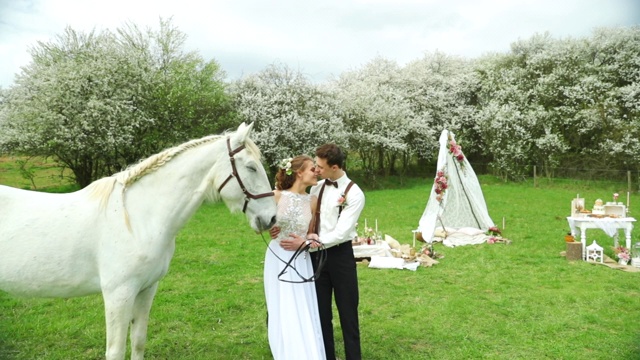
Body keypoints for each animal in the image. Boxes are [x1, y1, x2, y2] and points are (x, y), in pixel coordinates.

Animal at [0, 122, 276, 358]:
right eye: (251, 167)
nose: (271, 218)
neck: (137, 218)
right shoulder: (118, 295)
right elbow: (115, 350)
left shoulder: (146, 289)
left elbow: (139, 340)